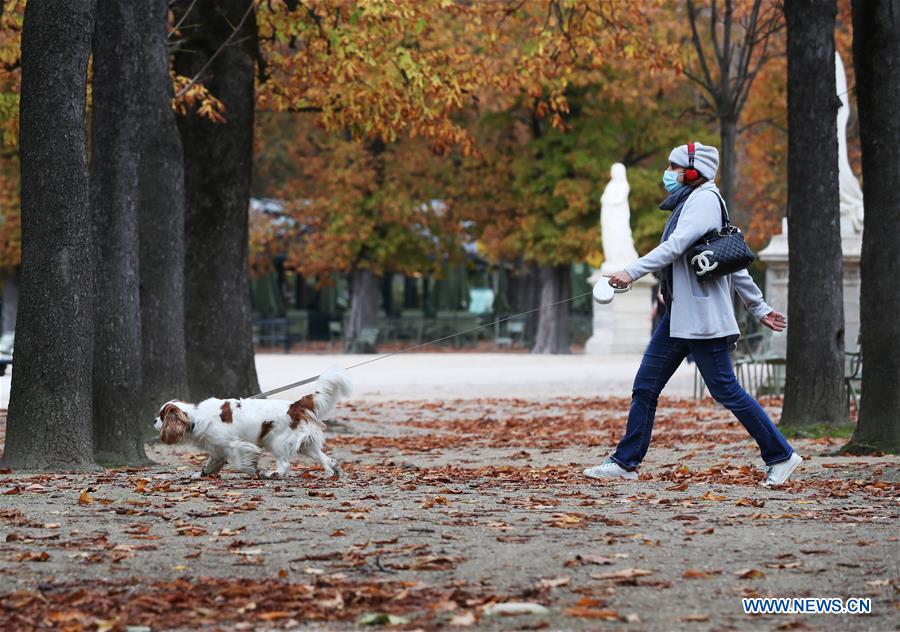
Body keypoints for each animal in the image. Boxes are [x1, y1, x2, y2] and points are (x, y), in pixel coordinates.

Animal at [153, 366, 354, 478]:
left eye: (162, 416)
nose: (154, 420)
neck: (195, 417)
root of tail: (295, 406)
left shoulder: (234, 445)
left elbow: (241, 463)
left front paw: (253, 471)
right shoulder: (217, 450)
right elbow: (209, 465)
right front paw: (199, 475)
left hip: (278, 442)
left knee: (284, 463)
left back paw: (274, 474)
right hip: (306, 444)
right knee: (325, 457)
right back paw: (332, 471)